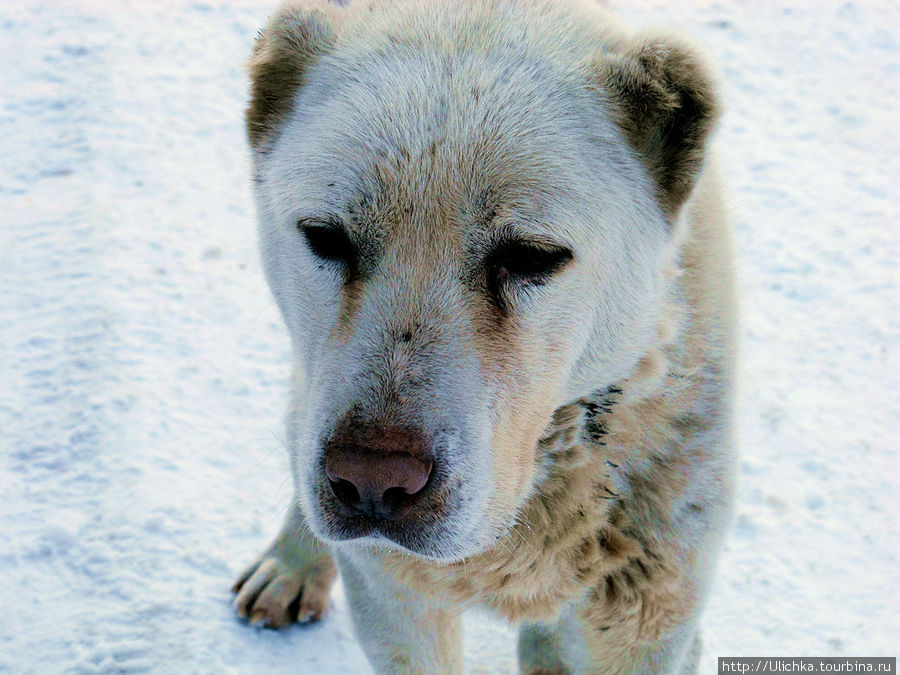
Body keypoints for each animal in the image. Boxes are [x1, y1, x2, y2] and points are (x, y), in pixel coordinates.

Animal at [232, 1, 740, 672]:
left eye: (531, 256)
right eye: (325, 235)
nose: (371, 479)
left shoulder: (643, 611)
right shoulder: (396, 598)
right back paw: (291, 562)